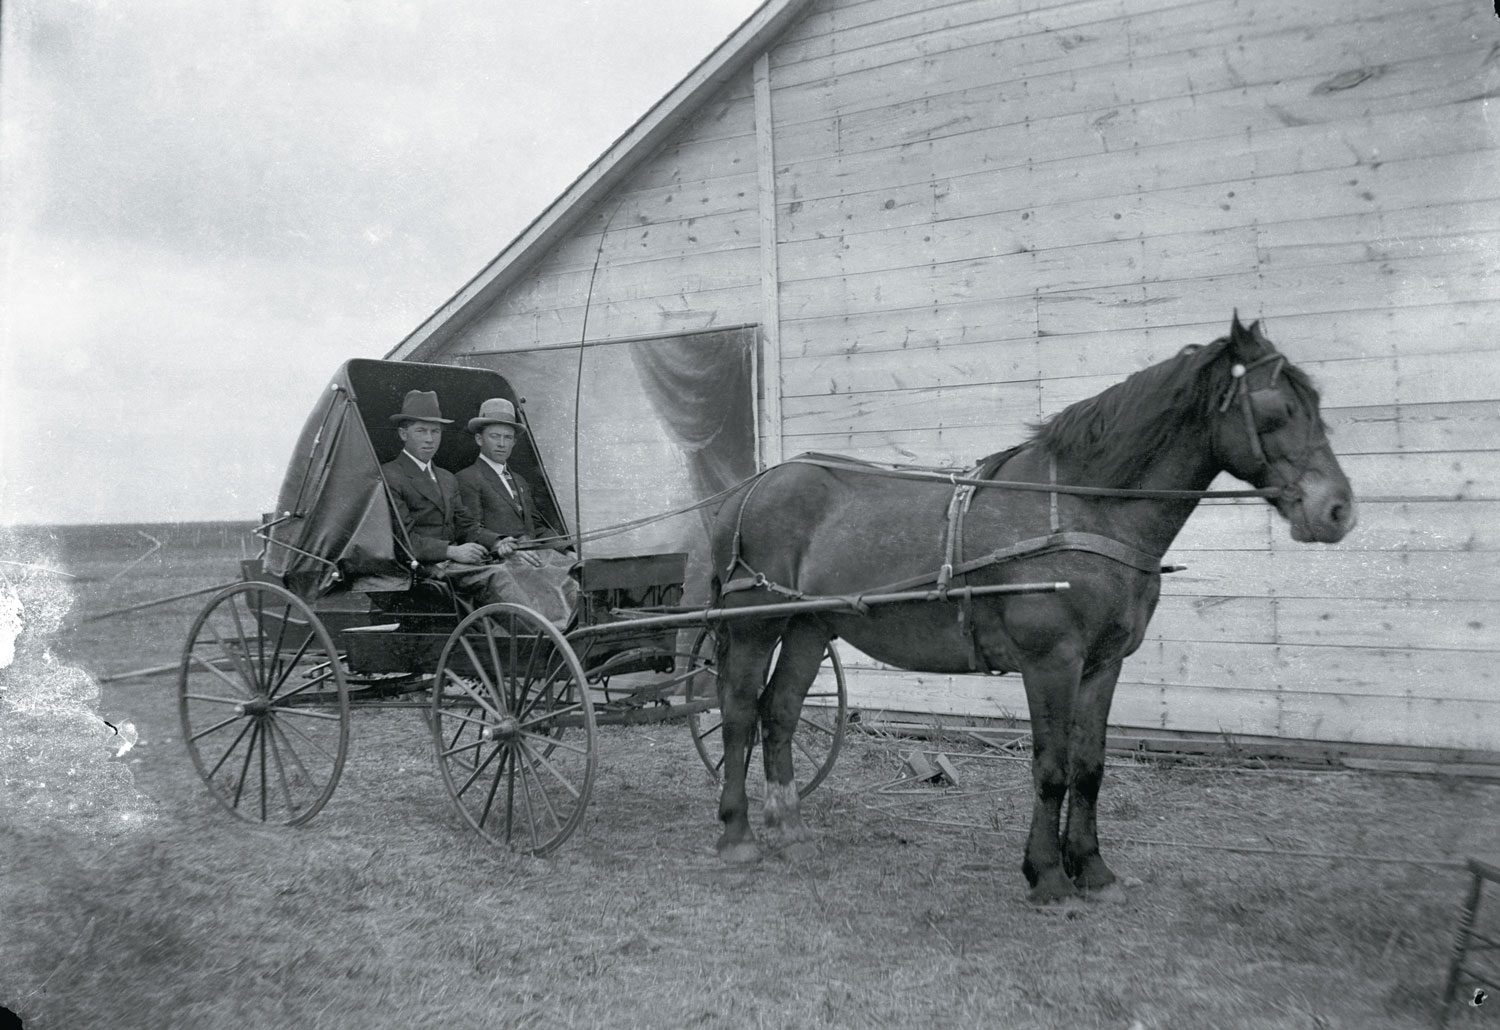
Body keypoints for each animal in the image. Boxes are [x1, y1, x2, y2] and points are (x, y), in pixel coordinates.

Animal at [708, 314, 1356, 899]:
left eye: (1316, 400)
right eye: (1276, 407)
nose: (1338, 510)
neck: (1085, 510)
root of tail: (753, 487)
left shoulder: (1102, 665)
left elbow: (1089, 768)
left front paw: (1092, 870)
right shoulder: (1052, 662)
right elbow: (1051, 768)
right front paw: (1046, 874)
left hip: (809, 624)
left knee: (780, 712)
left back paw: (788, 830)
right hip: (756, 626)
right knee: (739, 713)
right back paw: (737, 835)